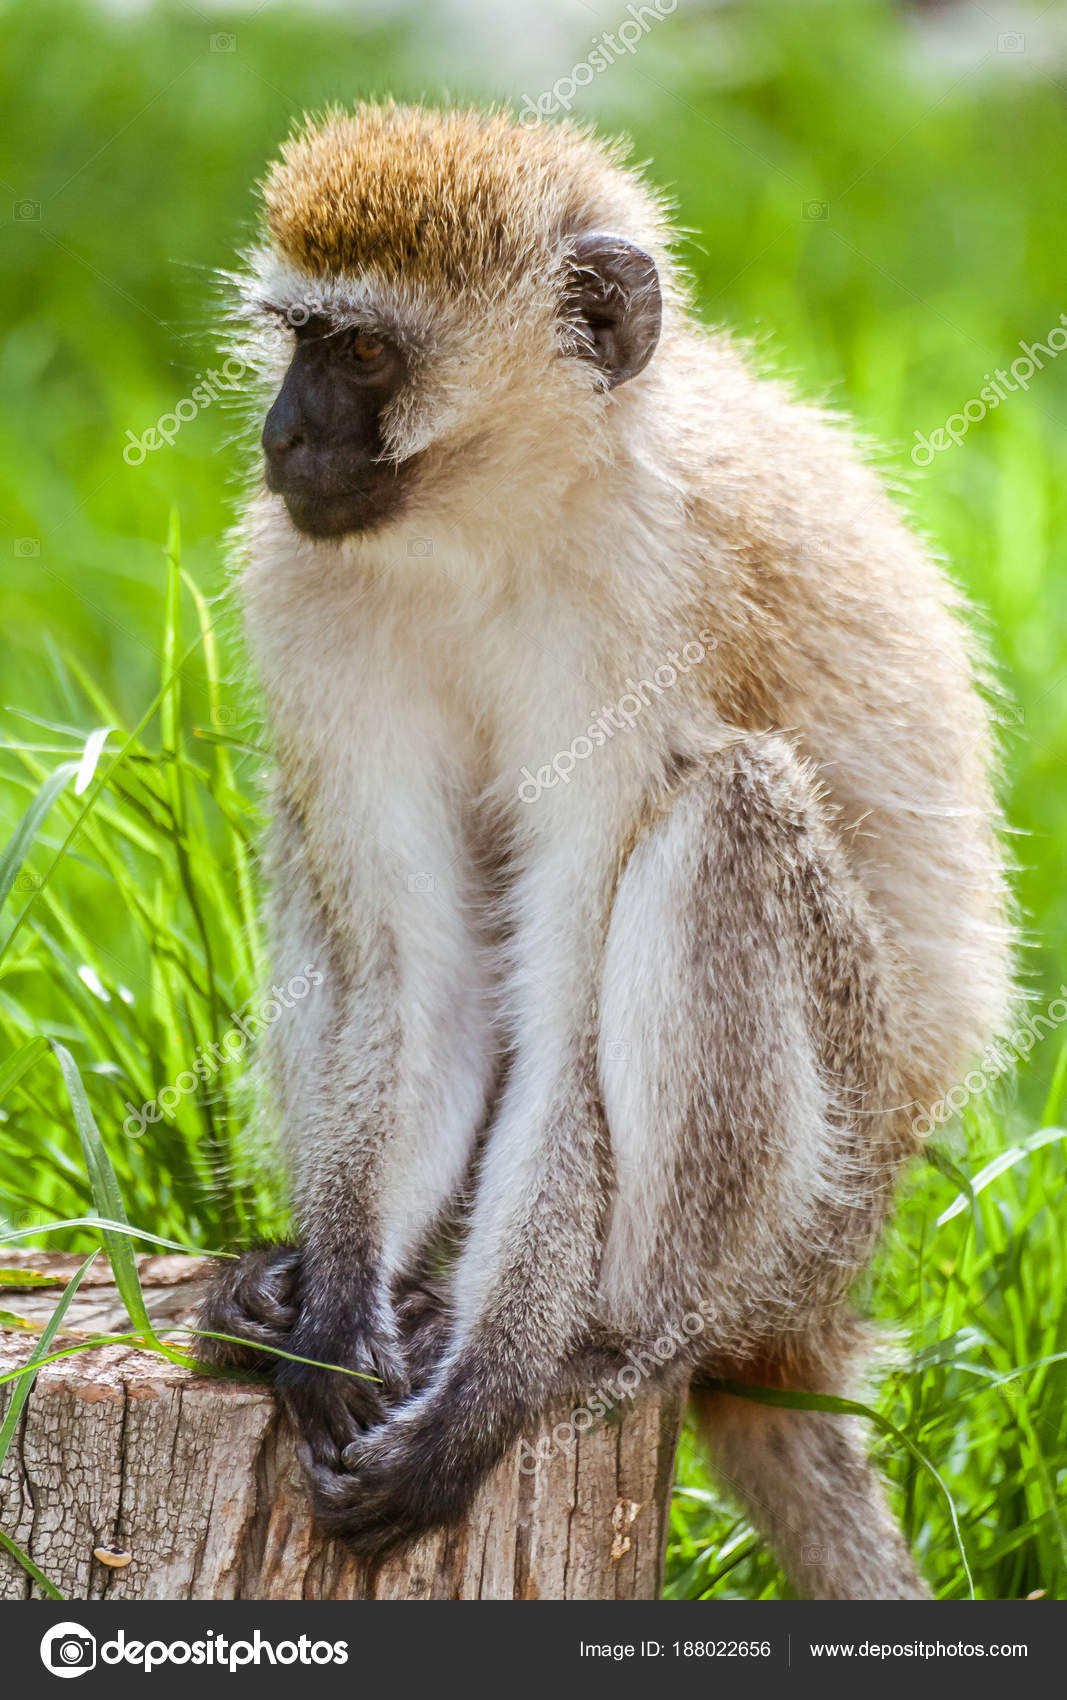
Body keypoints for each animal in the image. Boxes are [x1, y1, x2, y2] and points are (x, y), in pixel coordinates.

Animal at [197, 102, 1005, 1591]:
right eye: (296, 339)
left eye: (361, 353)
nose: (284, 434)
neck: (498, 519)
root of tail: (809, 1319)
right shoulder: (300, 572)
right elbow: (421, 969)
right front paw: (336, 1316)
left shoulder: (651, 610)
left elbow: (567, 1003)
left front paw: (491, 1385)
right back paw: (329, 1286)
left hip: (814, 1211)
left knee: (728, 811)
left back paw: (609, 1340)